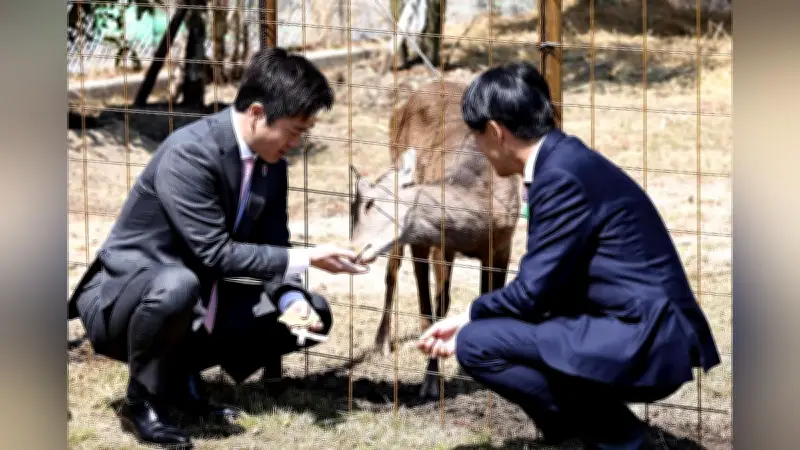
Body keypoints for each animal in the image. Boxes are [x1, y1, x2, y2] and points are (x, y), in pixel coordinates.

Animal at [349, 81, 522, 399]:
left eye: (372, 203)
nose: (354, 249)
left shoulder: (504, 243)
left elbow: (487, 297)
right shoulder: (444, 245)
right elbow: (442, 304)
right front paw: (430, 382)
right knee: (397, 274)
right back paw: (383, 342)